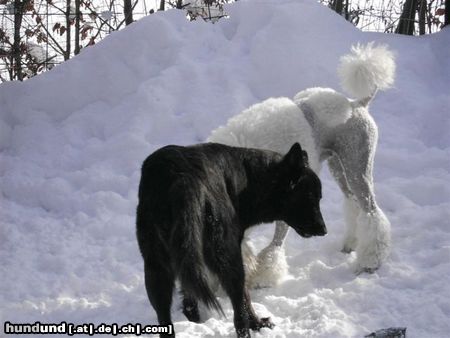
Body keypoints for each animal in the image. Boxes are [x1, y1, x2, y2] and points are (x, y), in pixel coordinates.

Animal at [136, 141, 326, 336]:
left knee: (164, 319)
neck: (250, 178)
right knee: (238, 315)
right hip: (227, 260)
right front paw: (257, 324)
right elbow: (245, 296)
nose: (324, 230)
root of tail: (183, 179)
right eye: (311, 197)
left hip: (156, 269)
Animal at [209, 43, 396, 286]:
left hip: (357, 162)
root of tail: (357, 104)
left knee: (371, 210)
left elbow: (277, 242)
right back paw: (350, 245)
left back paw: (369, 262)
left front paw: (264, 277)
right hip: (338, 165)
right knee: (353, 202)